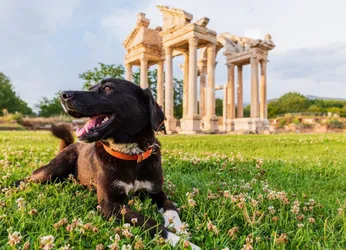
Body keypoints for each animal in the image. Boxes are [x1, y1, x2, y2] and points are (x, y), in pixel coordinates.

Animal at [16, 78, 200, 248]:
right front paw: (183, 243)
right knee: (26, 179)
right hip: (53, 169)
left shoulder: (156, 191)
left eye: (107, 88)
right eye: (91, 87)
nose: (63, 95)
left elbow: (172, 209)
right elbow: (151, 224)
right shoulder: (111, 204)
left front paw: (182, 231)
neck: (130, 154)